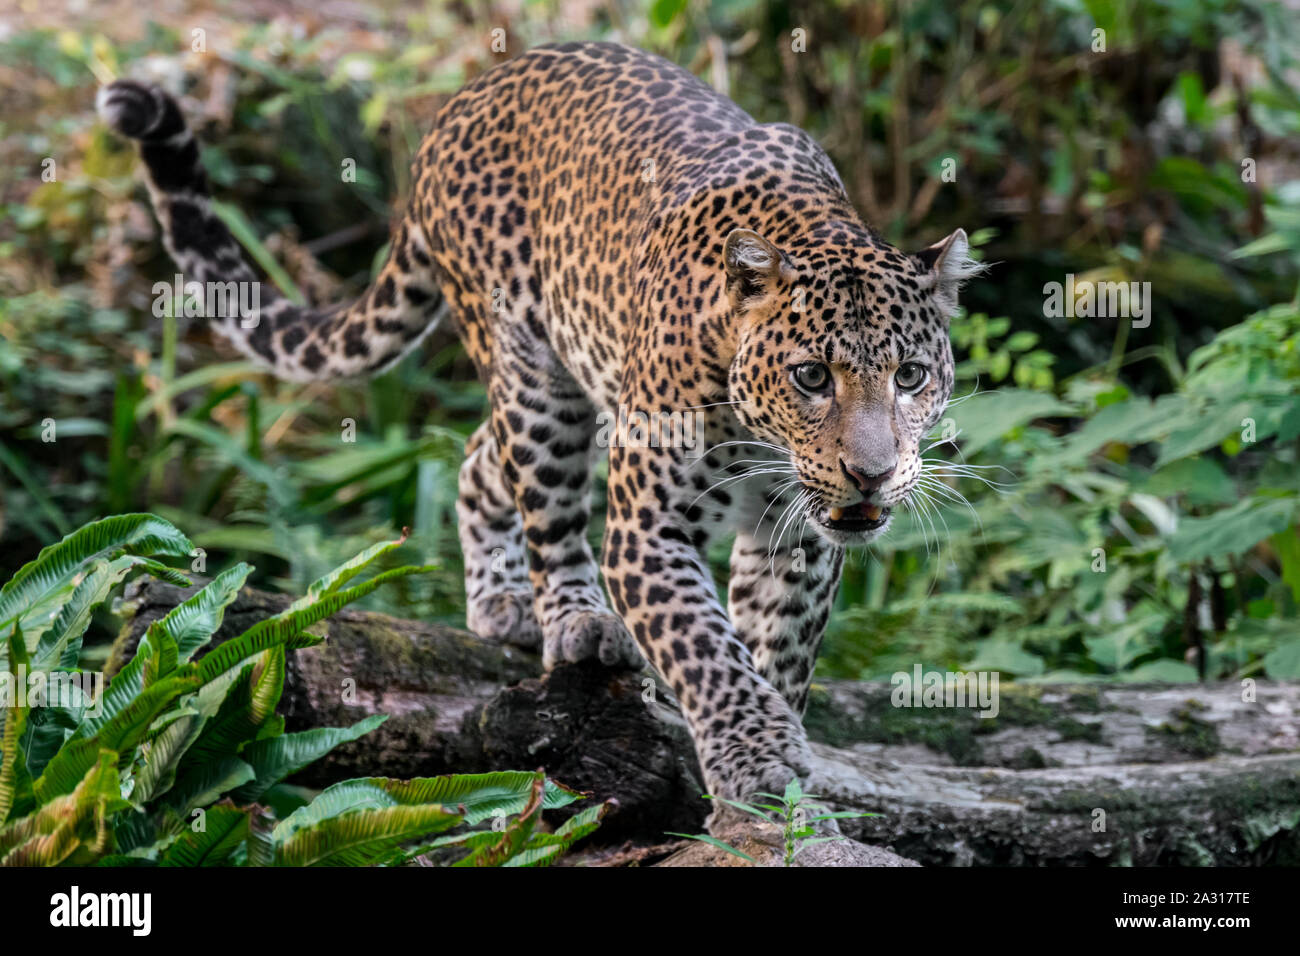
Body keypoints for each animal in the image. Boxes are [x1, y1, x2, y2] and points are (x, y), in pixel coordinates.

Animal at [94, 41, 982, 827]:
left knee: (479, 459)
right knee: (540, 499)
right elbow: (706, 650)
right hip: (535, 375)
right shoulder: (648, 527)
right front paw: (756, 759)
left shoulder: (794, 537)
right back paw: (573, 621)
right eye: (810, 378)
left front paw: (771, 791)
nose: (872, 474)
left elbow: (773, 652)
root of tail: (466, 96)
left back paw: (501, 601)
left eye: (910, 376)